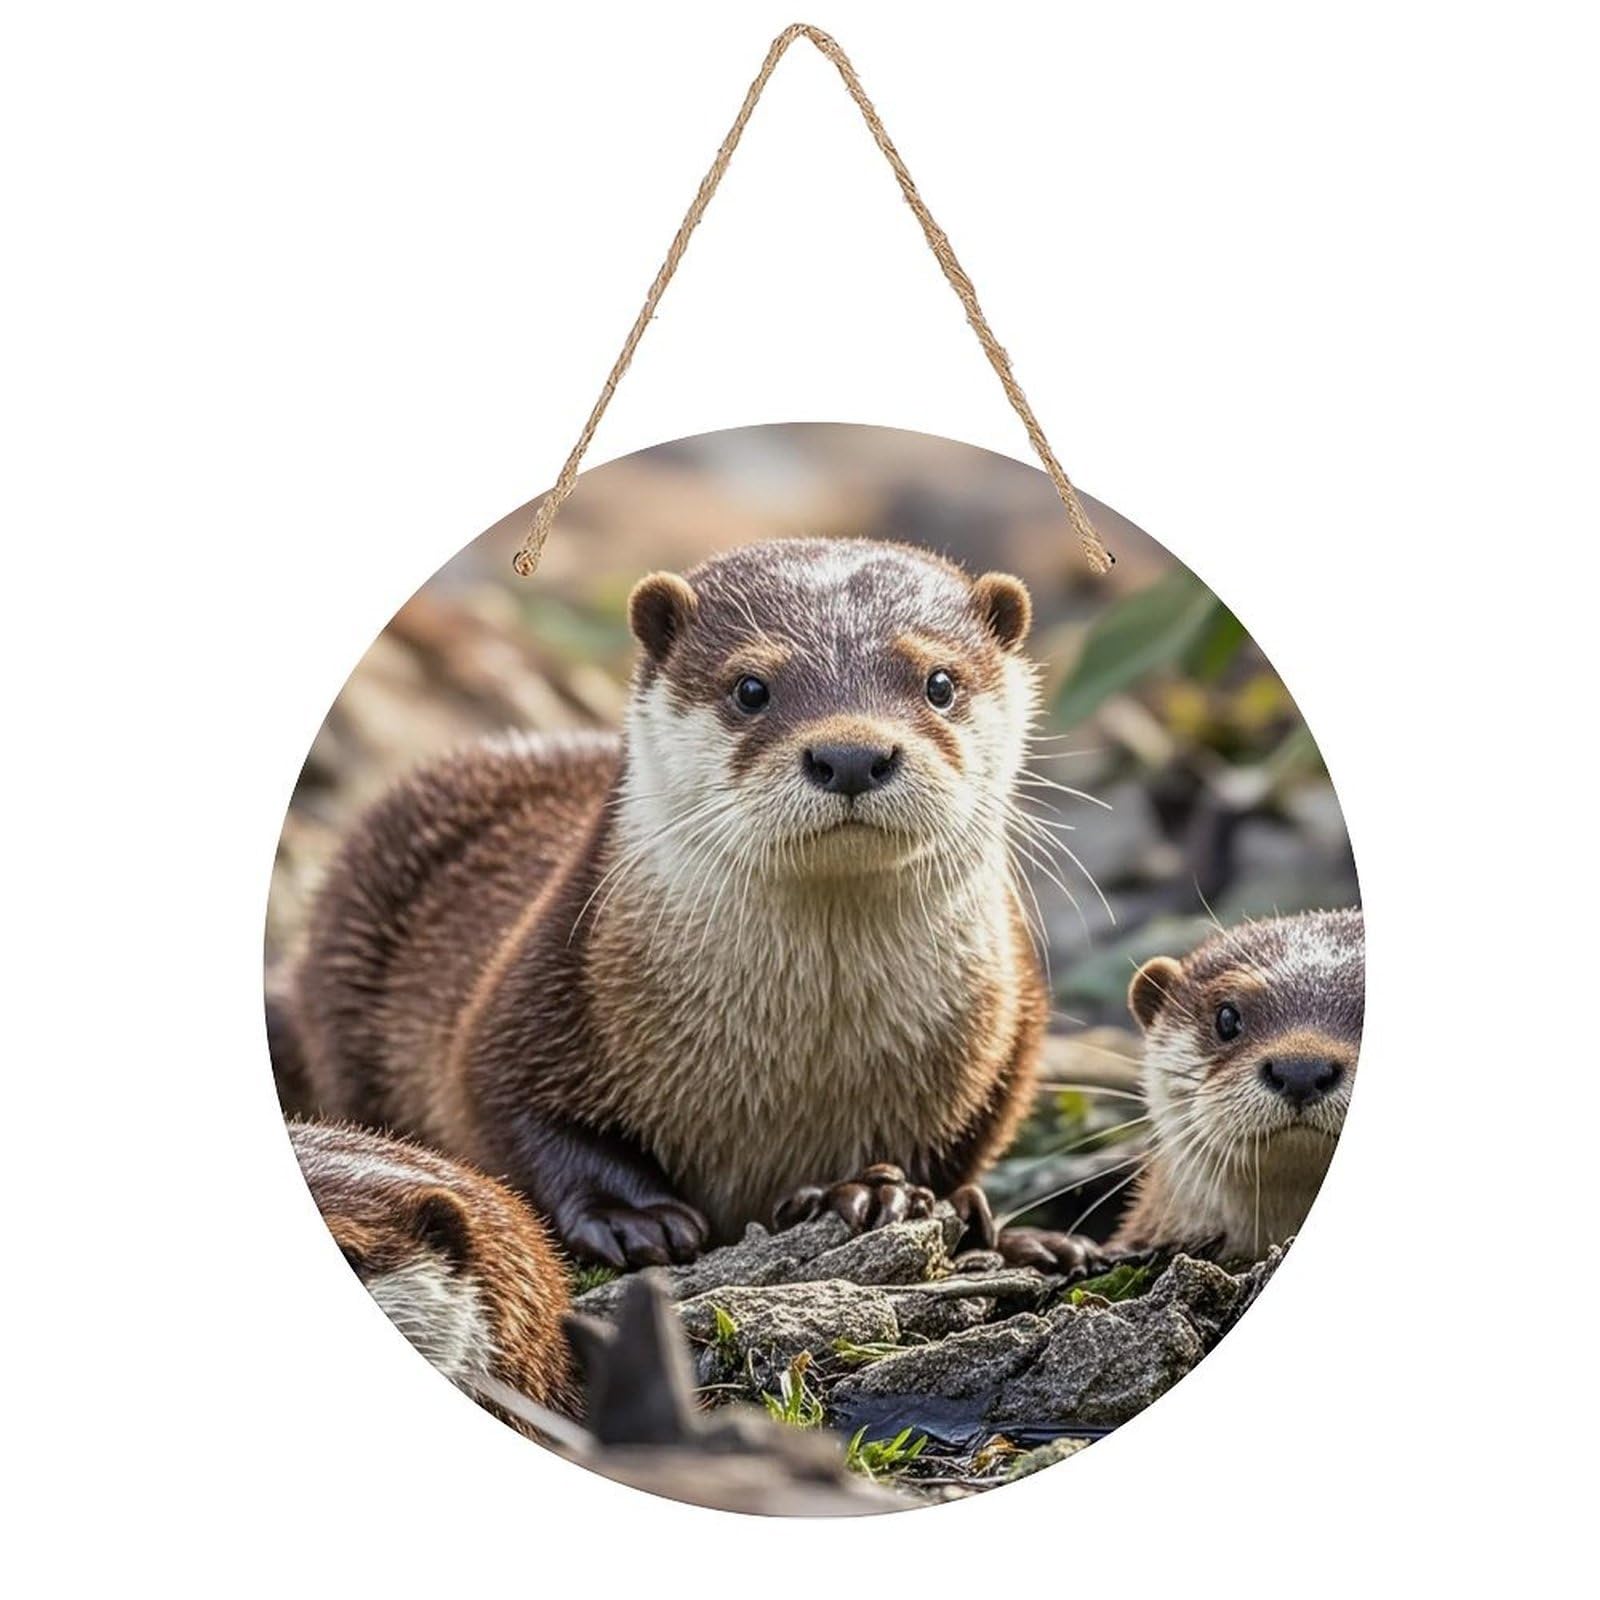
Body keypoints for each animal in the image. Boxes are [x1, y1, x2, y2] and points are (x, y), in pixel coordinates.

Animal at [273, 538, 1055, 1269]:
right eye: (750, 687)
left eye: (940, 683)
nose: (853, 754)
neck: (798, 1062)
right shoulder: (534, 990)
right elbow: (509, 1112)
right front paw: (629, 1214)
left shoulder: (1005, 1035)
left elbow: (955, 1150)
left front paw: (872, 1188)